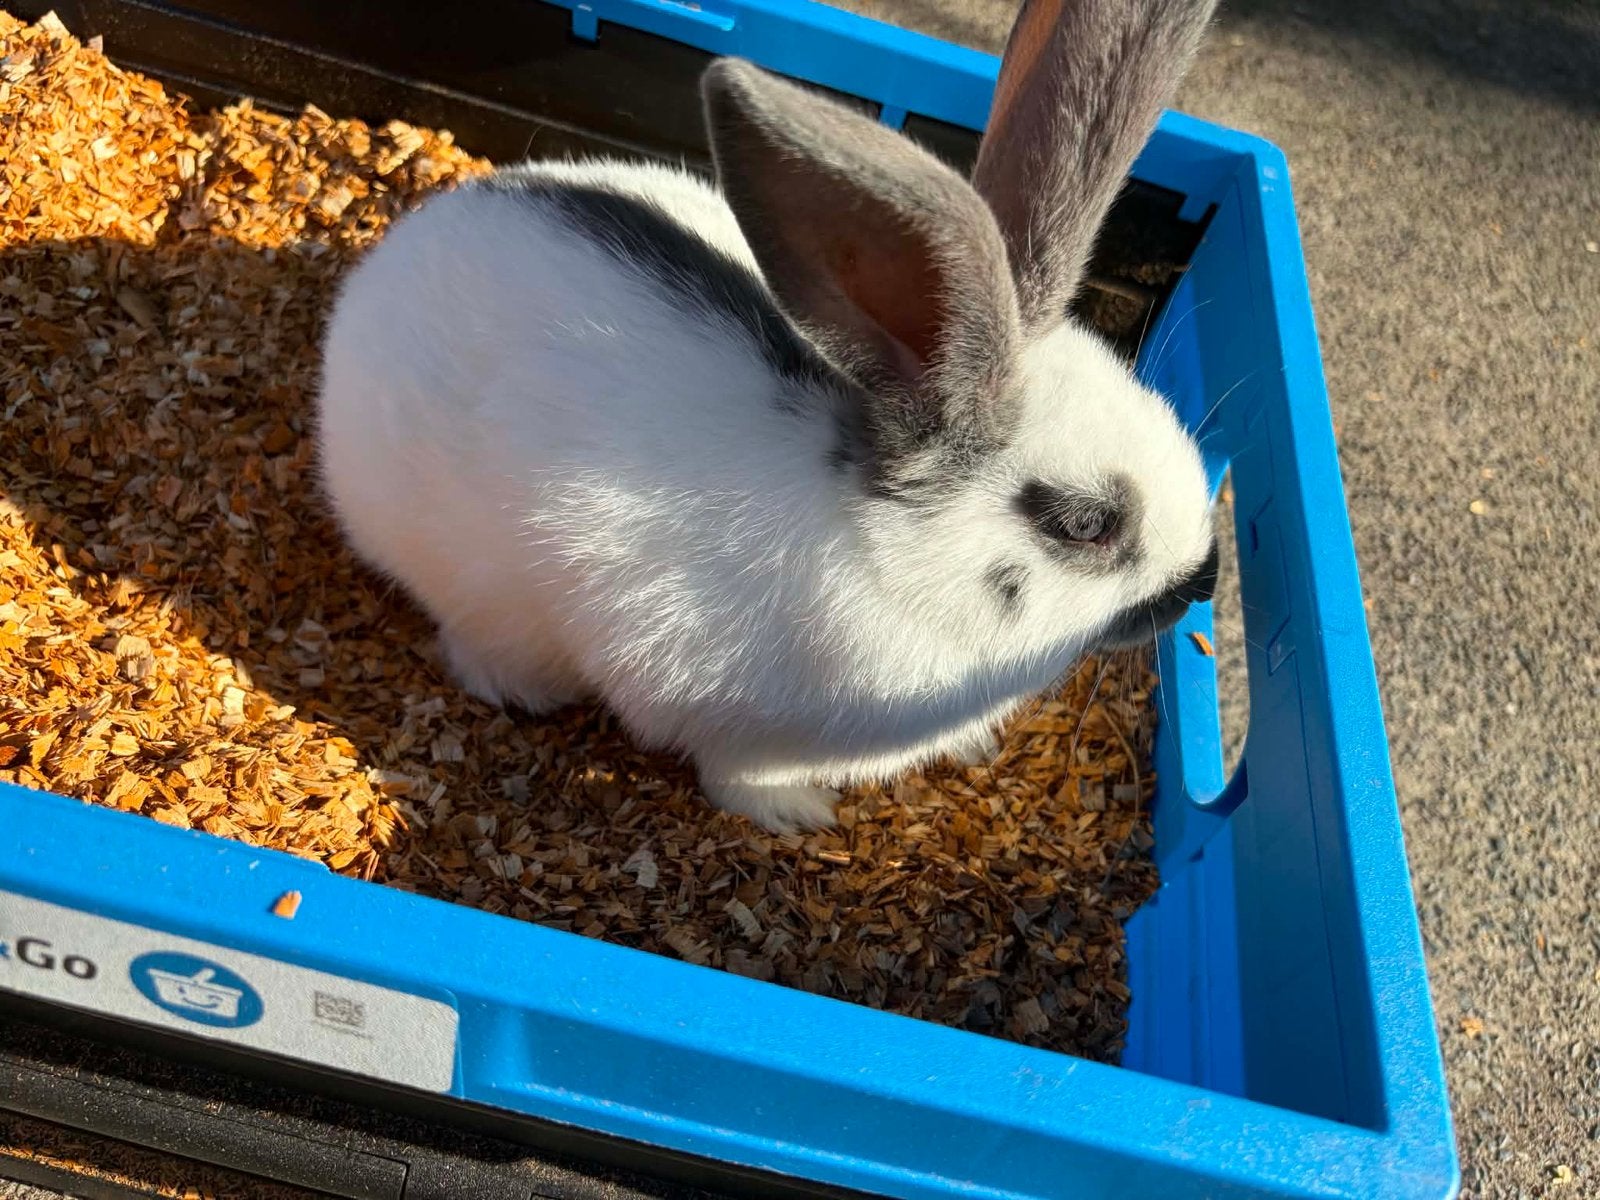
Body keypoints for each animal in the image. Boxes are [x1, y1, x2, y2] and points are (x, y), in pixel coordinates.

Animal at [315, 0, 1222, 832]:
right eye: (1085, 524)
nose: (1203, 583)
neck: (892, 562)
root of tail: (390, 259)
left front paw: (972, 745)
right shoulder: (722, 719)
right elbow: (737, 776)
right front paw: (800, 816)